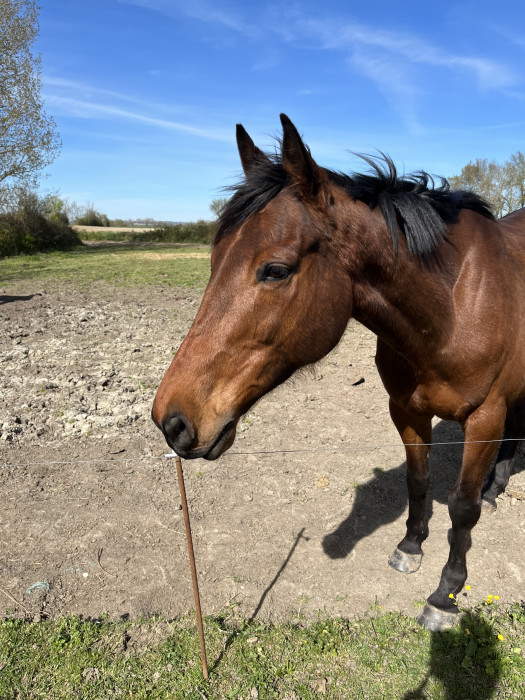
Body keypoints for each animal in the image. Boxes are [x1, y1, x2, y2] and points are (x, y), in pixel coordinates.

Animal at [151, 116, 524, 636]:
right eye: (213, 261)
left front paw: (445, 594)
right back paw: (497, 486)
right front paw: (410, 547)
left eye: (275, 270)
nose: (172, 420)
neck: (453, 306)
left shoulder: (485, 418)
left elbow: (461, 507)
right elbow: (418, 480)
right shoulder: (406, 410)